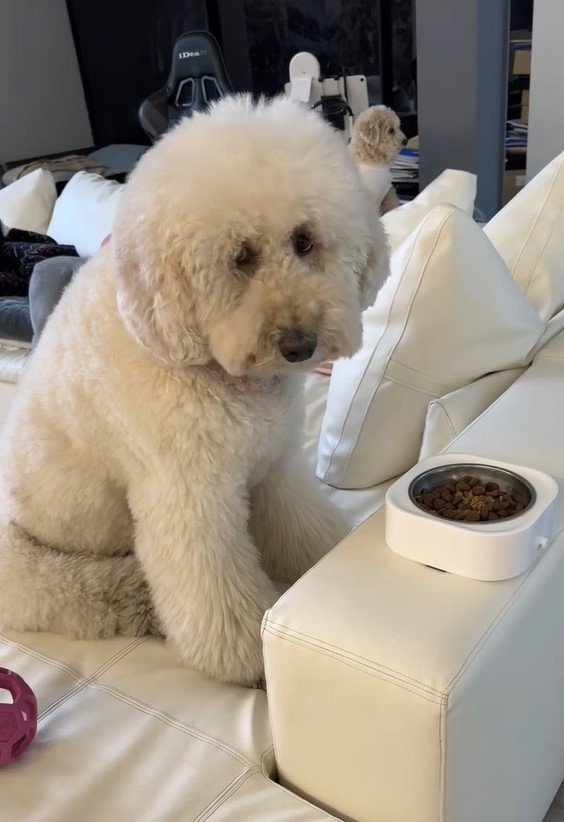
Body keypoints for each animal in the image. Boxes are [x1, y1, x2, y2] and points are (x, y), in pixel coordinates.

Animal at [0, 96, 389, 686]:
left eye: (304, 241)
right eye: (240, 256)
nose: (299, 344)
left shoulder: (273, 466)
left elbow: (304, 530)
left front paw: (323, 564)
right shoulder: (189, 497)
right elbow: (215, 593)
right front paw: (250, 659)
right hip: (30, 567)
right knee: (82, 592)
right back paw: (136, 600)